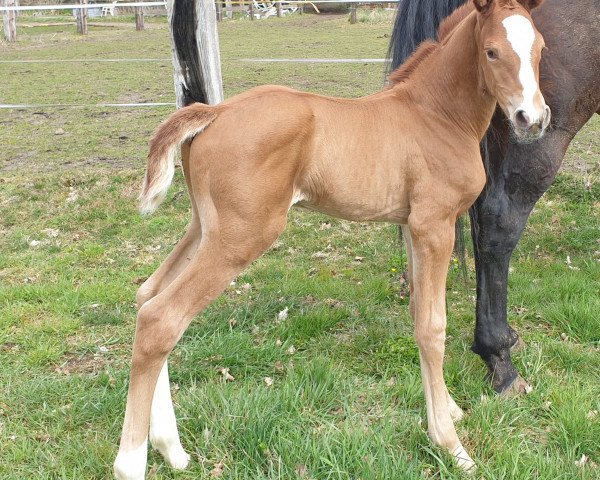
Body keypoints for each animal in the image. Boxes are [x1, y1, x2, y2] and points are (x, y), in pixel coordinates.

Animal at [113, 0, 548, 476]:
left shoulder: (413, 227)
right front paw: (451, 445)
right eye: (491, 52)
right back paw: (131, 463)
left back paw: (171, 448)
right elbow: (433, 326)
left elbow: (418, 310)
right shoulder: (434, 226)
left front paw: (448, 408)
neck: (436, 115)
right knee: (162, 318)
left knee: (148, 296)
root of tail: (215, 113)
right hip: (240, 236)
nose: (532, 119)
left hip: (203, 227)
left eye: (541, 48)